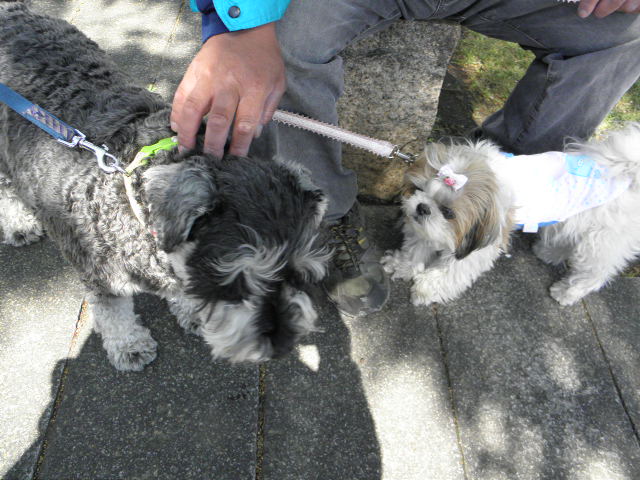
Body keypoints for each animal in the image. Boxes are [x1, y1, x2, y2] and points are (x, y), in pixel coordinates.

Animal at [0, 1, 330, 371]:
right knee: (6, 188)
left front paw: (190, 312)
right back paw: (19, 225)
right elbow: (113, 313)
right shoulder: (100, 277)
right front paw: (129, 346)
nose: (282, 345)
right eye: (234, 281)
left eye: (298, 273)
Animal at [381, 123, 640, 307]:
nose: (423, 208)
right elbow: (416, 248)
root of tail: (628, 174)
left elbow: (452, 272)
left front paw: (426, 288)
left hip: (602, 241)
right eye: (419, 190)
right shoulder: (427, 228)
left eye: (448, 212)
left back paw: (568, 291)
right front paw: (401, 264)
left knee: (595, 272)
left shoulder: (477, 245)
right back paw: (548, 252)